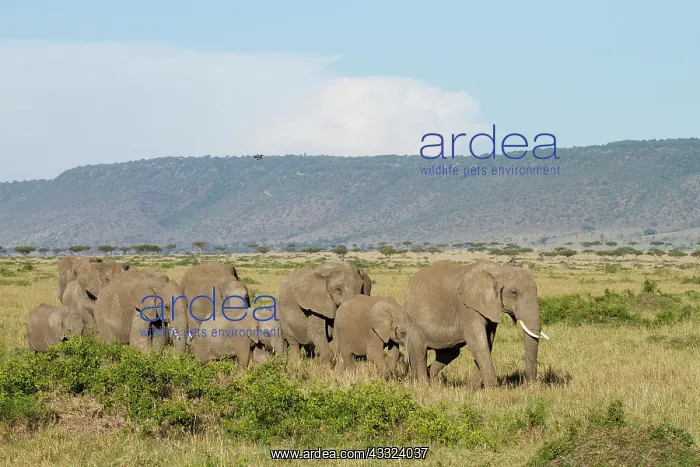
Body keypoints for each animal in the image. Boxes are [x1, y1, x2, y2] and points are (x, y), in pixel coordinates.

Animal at [403, 259, 549, 387]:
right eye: (514, 292)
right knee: (420, 352)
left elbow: (488, 342)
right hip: (413, 321)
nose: (530, 386)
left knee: (449, 354)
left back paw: (429, 379)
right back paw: (423, 386)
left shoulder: (490, 307)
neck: (499, 270)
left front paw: (472, 388)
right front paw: (493, 390)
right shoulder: (467, 306)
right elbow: (478, 343)